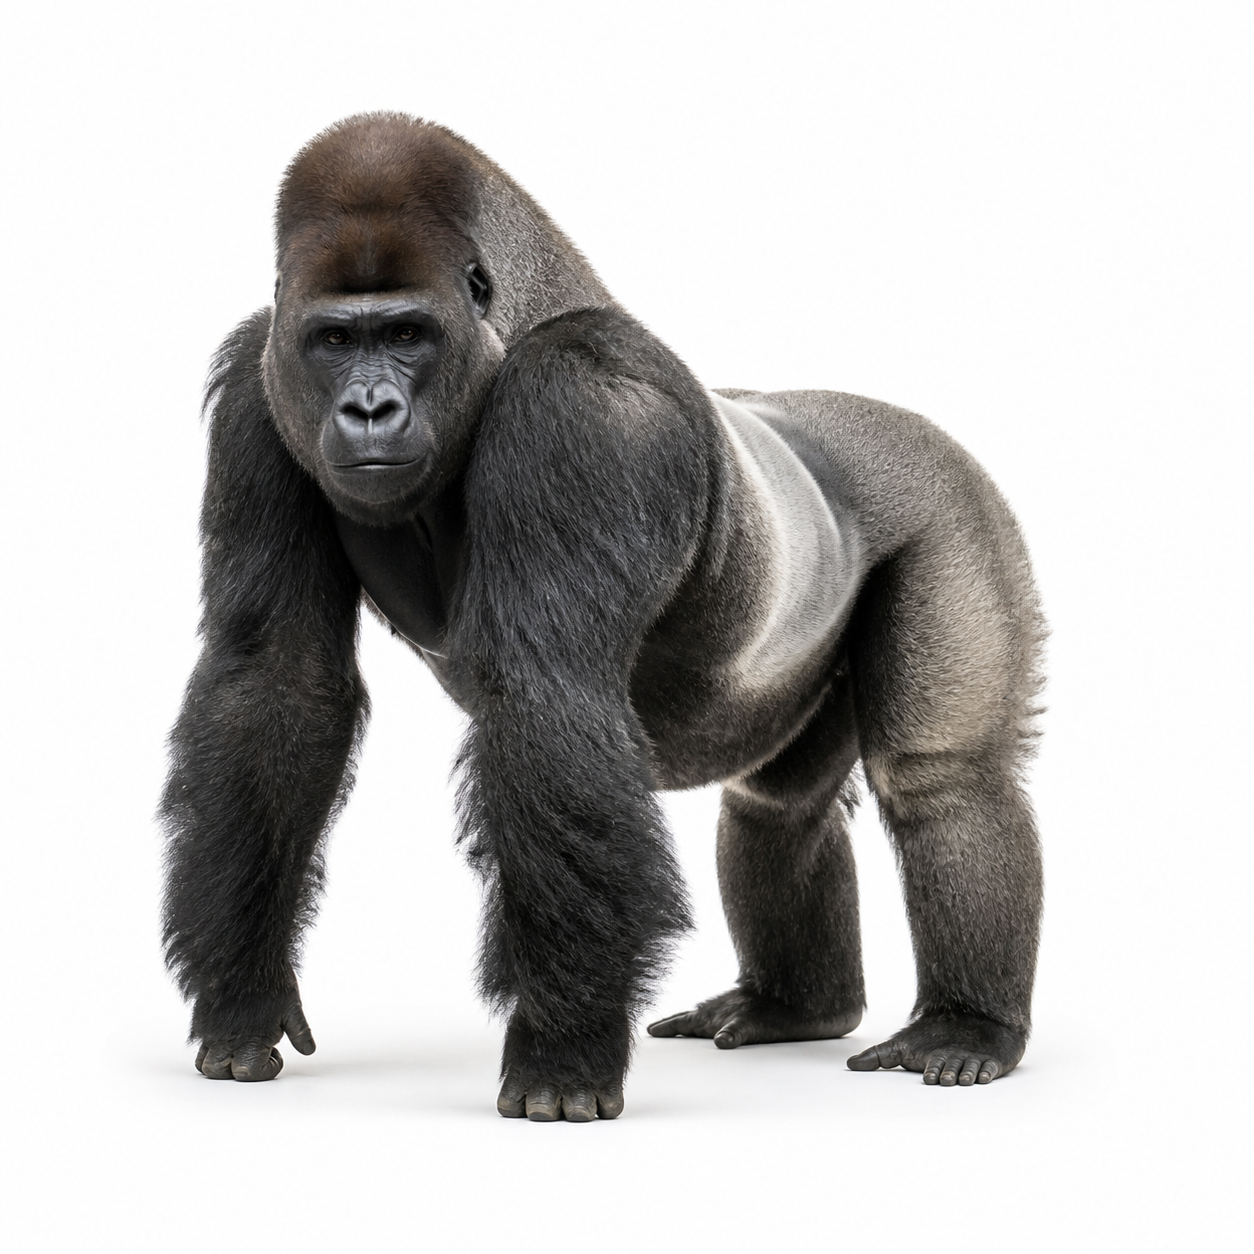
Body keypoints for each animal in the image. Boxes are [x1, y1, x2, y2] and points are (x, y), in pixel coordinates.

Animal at [162, 112, 1044, 1121]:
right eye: (334, 340)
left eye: (407, 334)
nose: (370, 407)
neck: (509, 323)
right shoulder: (255, 385)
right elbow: (276, 679)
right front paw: (243, 996)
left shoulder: (586, 409)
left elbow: (548, 695)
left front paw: (563, 1050)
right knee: (780, 811)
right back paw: (798, 1005)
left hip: (954, 497)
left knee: (944, 778)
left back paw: (968, 1025)